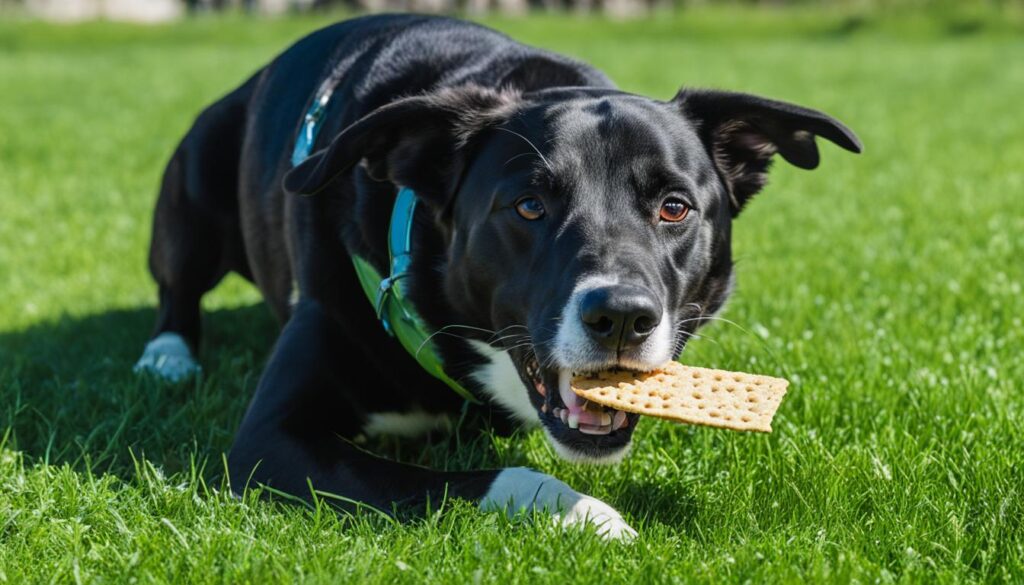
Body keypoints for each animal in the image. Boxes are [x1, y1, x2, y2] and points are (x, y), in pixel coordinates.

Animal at [134, 13, 856, 540]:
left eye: (674, 207)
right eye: (529, 205)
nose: (622, 316)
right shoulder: (272, 442)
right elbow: (497, 476)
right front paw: (589, 514)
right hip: (195, 183)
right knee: (178, 284)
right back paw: (168, 355)